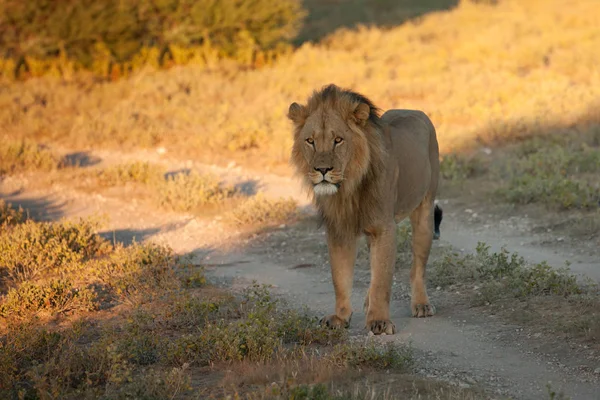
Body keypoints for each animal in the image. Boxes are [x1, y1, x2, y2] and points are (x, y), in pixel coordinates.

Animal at [288, 83, 442, 334]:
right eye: (310, 141)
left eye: (338, 140)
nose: (322, 170)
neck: (349, 187)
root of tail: (415, 110)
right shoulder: (339, 229)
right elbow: (340, 277)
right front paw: (340, 318)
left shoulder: (384, 228)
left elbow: (382, 280)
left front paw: (379, 322)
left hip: (425, 211)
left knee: (417, 266)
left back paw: (421, 304)